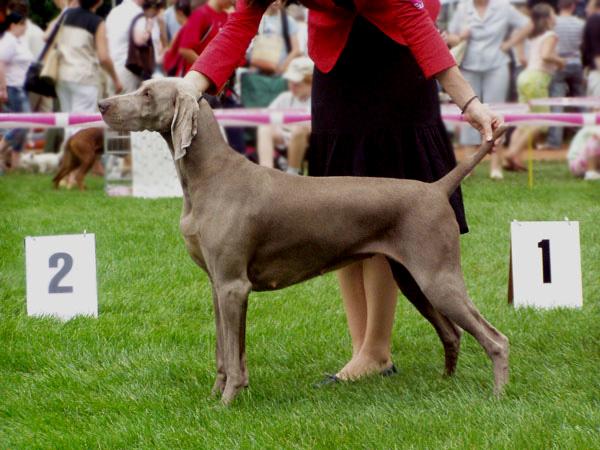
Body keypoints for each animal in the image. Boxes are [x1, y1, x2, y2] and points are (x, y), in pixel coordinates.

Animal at [97, 79, 506, 406]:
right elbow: (226, 352)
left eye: (147, 93)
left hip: (438, 277)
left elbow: (231, 354)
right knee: (452, 333)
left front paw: (225, 404)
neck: (210, 176)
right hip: (412, 279)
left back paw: (498, 395)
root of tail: (438, 187)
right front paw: (219, 394)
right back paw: (445, 383)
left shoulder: (233, 285)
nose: (102, 104)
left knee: (496, 339)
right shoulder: (218, 286)